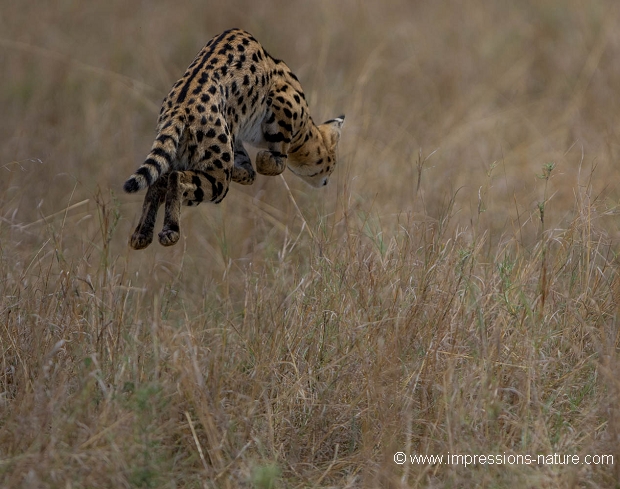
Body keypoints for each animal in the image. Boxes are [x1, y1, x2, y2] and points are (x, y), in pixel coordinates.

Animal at [121, 27, 344, 248]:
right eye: (333, 164)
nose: (327, 181)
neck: (305, 128)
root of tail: (180, 108)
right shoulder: (282, 102)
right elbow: (277, 160)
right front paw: (266, 160)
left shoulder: (234, 139)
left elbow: (250, 172)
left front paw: (247, 170)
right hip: (219, 177)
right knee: (177, 179)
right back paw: (171, 231)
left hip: (183, 155)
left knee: (161, 180)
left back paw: (141, 234)